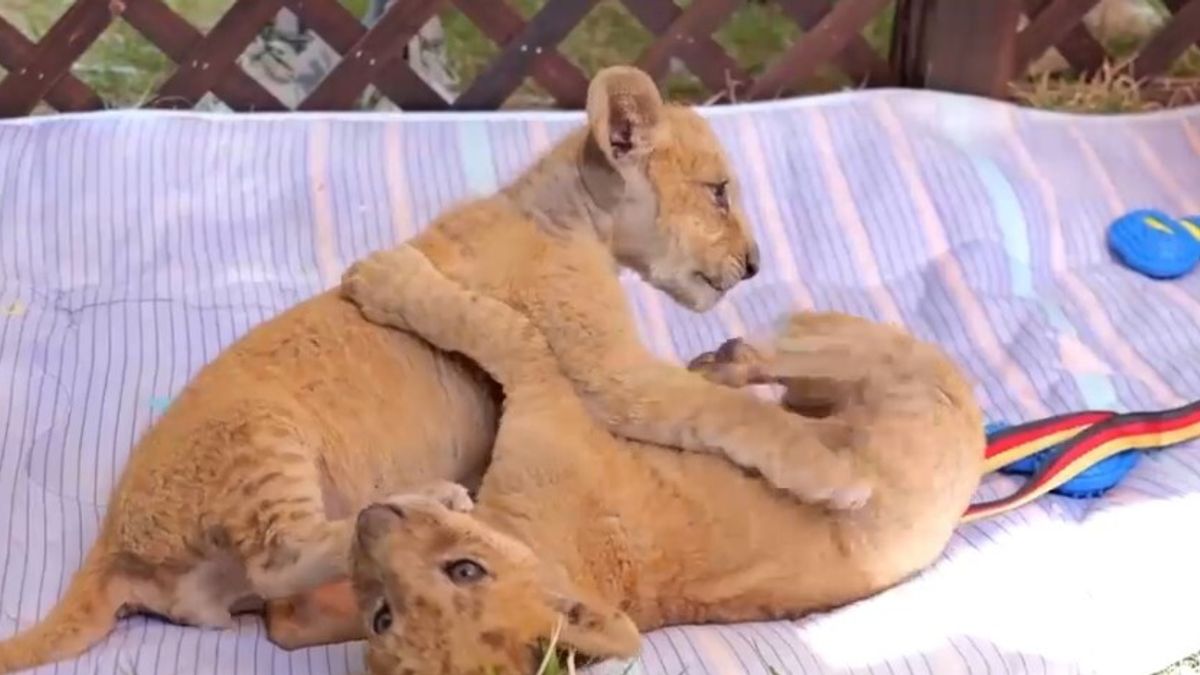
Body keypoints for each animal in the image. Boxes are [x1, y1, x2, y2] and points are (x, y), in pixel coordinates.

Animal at [0, 66, 868, 672]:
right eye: (719, 192)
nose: (756, 265)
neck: (557, 209)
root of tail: (112, 547)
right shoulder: (608, 369)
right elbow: (731, 415)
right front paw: (836, 476)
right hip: (263, 436)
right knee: (278, 559)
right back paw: (432, 499)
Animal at [335, 245, 985, 674]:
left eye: (466, 571)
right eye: (382, 617)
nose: (370, 519)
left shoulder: (543, 391)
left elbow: (490, 325)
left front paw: (385, 277)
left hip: (857, 360)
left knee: (783, 353)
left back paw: (724, 363)